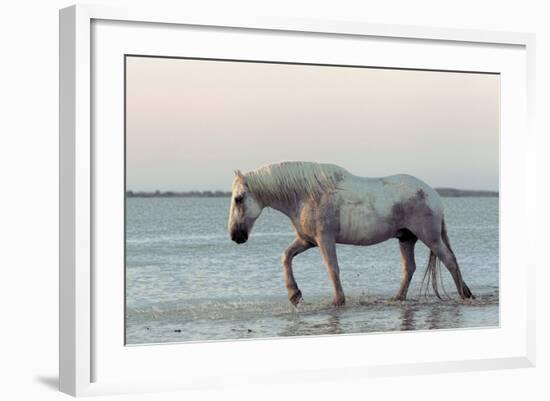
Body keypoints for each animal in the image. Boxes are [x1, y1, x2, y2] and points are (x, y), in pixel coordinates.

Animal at [229, 161, 474, 304]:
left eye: (239, 198)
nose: (235, 236)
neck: (307, 195)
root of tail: (434, 196)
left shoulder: (325, 240)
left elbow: (332, 269)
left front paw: (338, 301)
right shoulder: (307, 240)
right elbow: (286, 256)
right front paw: (294, 294)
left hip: (429, 237)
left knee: (450, 261)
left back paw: (464, 295)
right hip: (406, 238)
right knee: (410, 268)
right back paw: (398, 298)